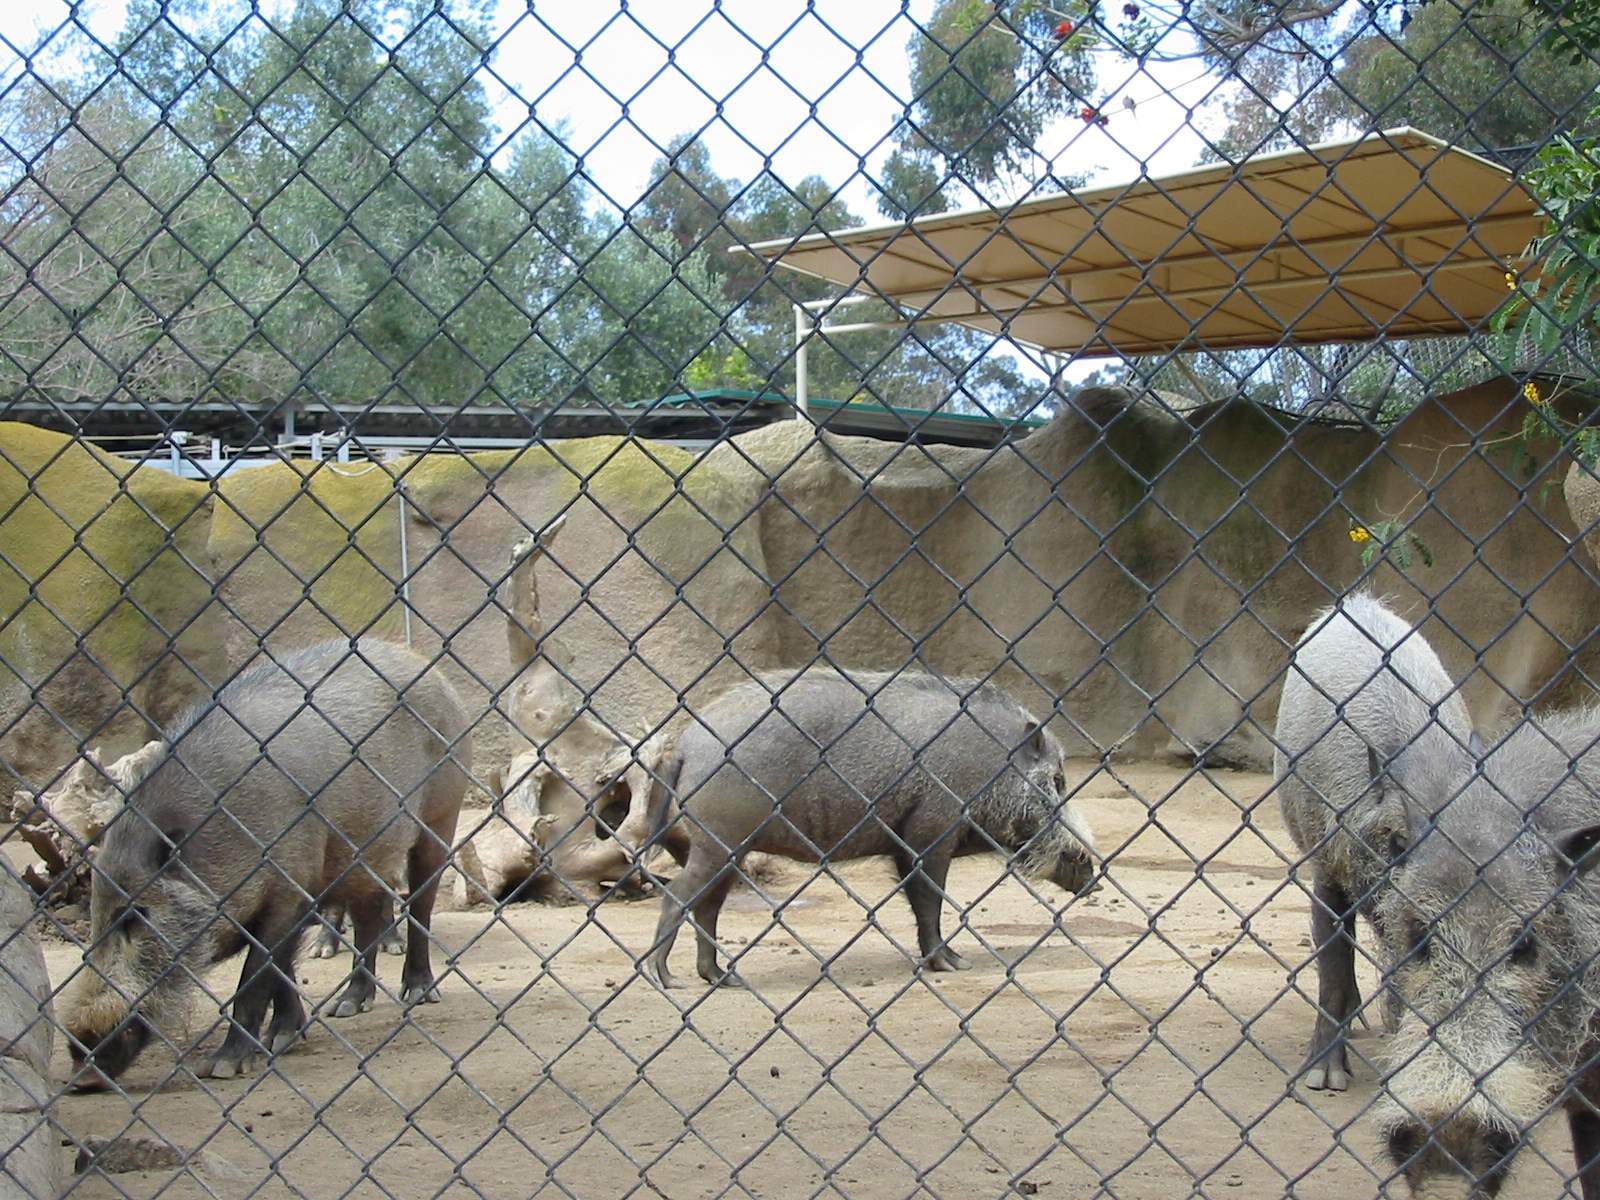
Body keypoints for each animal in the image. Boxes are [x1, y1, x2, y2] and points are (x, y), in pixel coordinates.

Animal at [61, 639, 472, 1087]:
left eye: (136, 917)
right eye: (96, 913)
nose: (81, 1073)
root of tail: (430, 670)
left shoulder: (288, 886)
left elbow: (256, 975)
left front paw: (223, 1068)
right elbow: (282, 970)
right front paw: (283, 1040)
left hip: (442, 812)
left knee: (421, 904)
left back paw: (418, 994)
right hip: (364, 852)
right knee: (369, 916)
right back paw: (346, 1007)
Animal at [643, 669, 1099, 990]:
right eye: (1058, 781)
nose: (1093, 875)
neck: (991, 768)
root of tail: (686, 744)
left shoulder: (905, 843)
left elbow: (918, 902)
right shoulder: (929, 833)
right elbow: (930, 900)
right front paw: (954, 965)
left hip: (728, 848)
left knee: (707, 905)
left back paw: (724, 978)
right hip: (720, 840)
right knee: (678, 895)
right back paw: (668, 979)